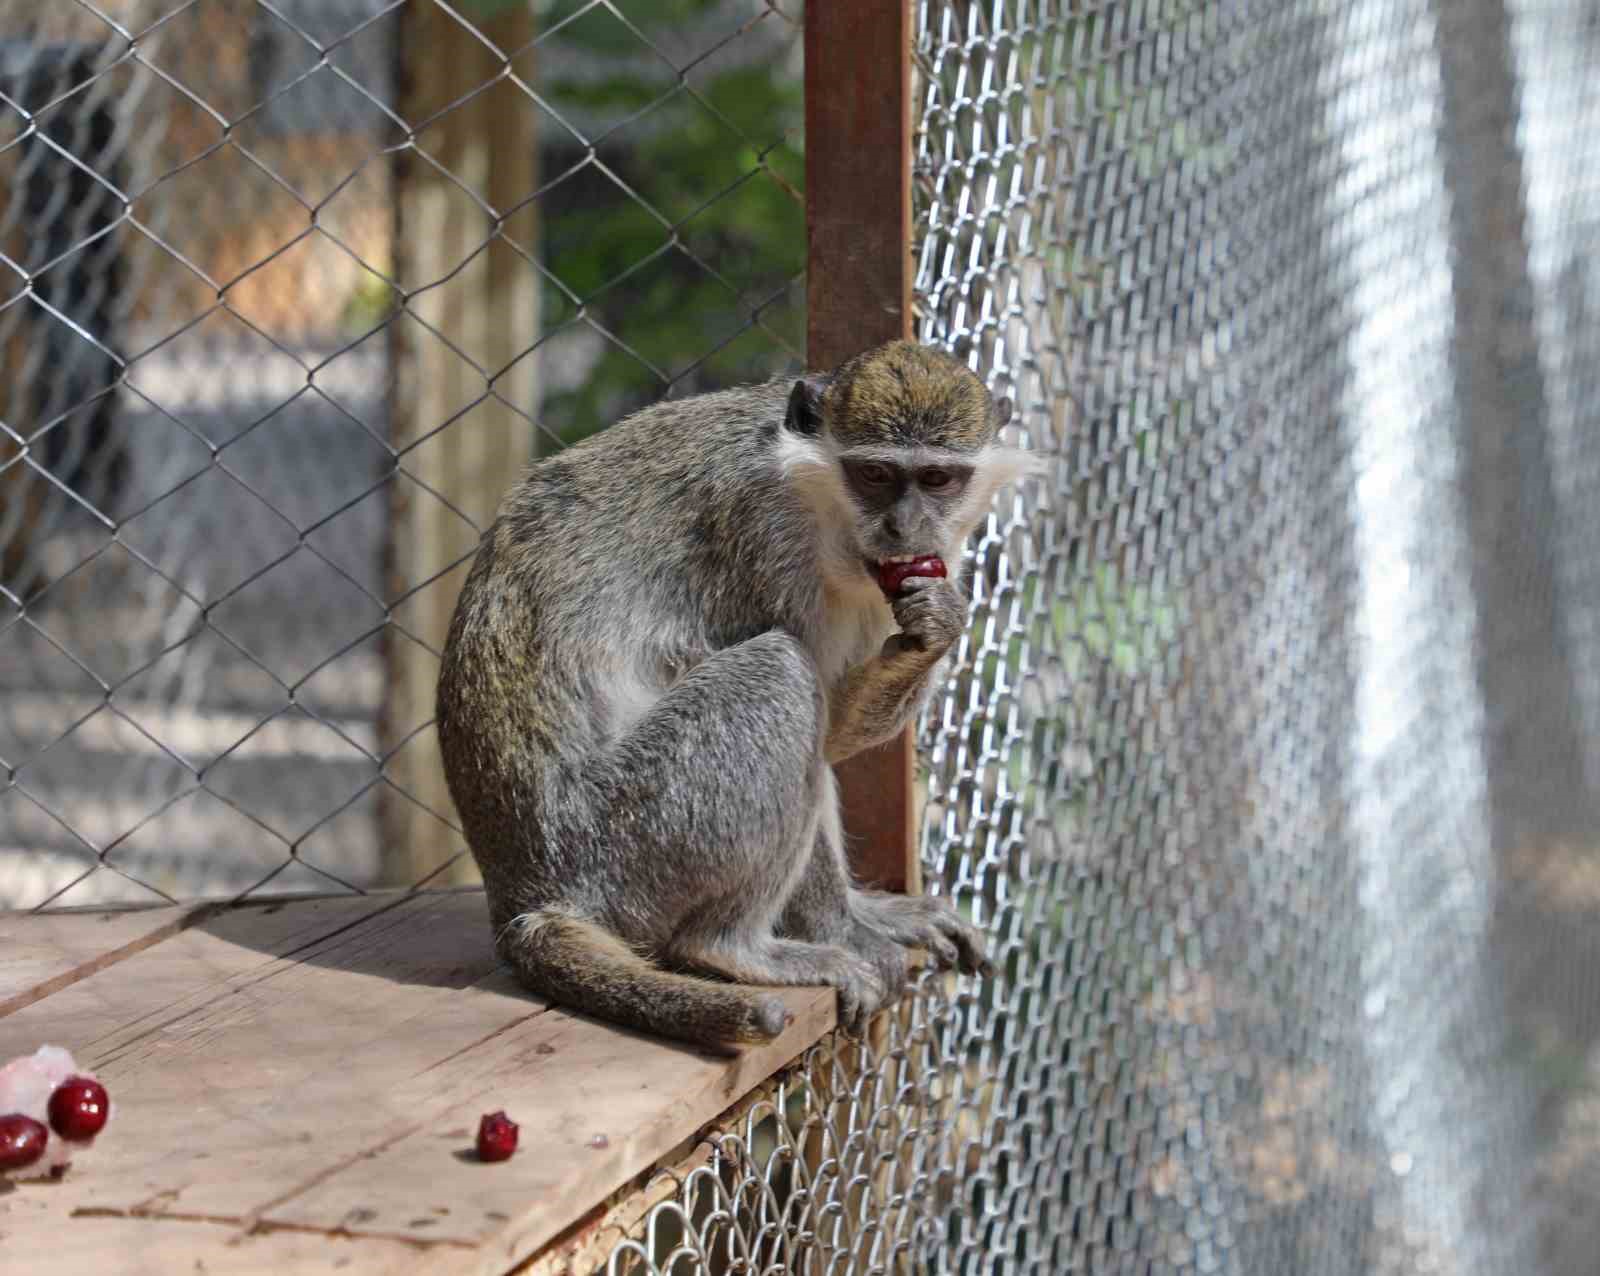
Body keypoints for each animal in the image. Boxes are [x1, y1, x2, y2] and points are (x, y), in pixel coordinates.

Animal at [435, 338, 1036, 1048]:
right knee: (780, 673)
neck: (815, 495)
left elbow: (834, 732)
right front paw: (846, 930)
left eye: (938, 480)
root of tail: (524, 895)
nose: (905, 529)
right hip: (624, 841)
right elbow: (806, 701)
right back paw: (732, 948)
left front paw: (937, 626)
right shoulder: (758, 534)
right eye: (876, 475)